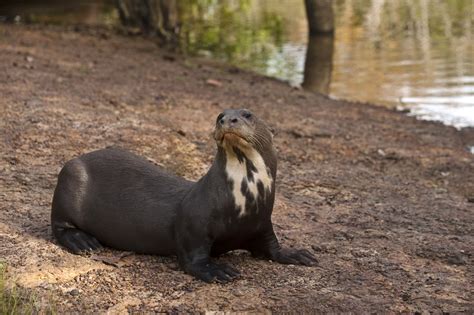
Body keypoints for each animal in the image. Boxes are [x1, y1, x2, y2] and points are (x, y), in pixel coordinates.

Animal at [51, 109, 316, 284]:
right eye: (220, 114)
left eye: (248, 114)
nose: (226, 119)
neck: (244, 202)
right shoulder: (194, 222)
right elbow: (193, 255)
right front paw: (216, 270)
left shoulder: (262, 222)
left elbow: (271, 246)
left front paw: (296, 253)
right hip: (70, 177)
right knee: (59, 225)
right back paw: (83, 241)